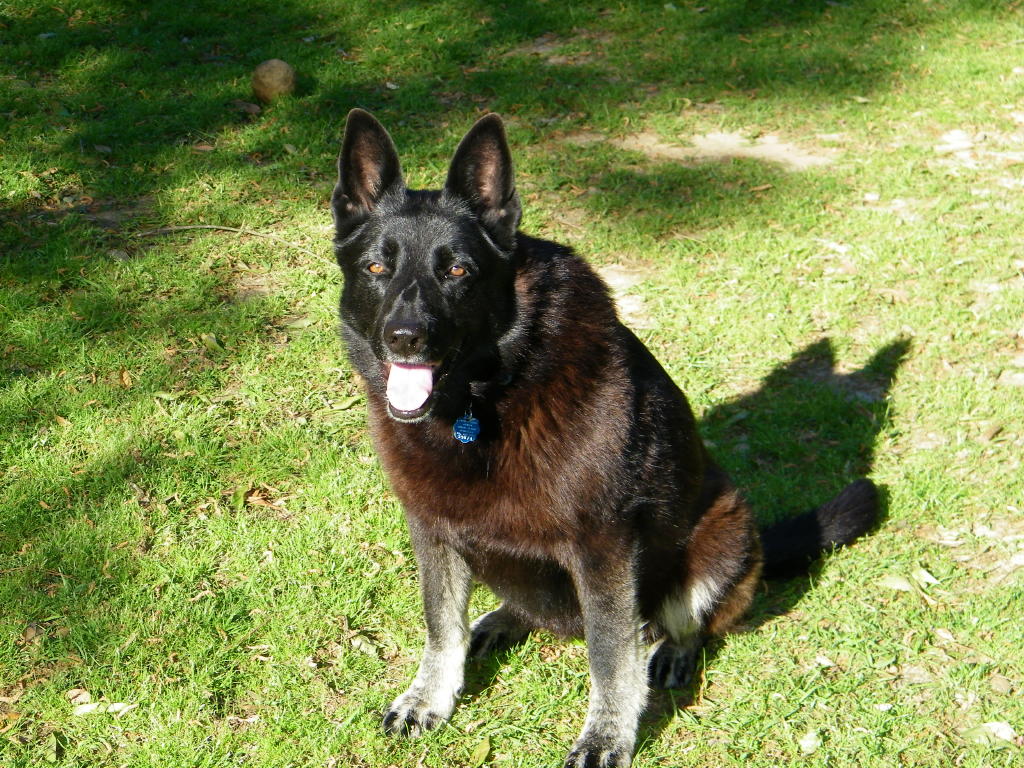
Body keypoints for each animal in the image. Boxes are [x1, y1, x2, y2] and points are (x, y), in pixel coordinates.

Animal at [330, 109, 878, 767]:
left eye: (458, 270)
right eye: (376, 269)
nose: (405, 336)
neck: (485, 400)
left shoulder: (603, 548)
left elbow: (611, 653)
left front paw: (606, 736)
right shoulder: (435, 530)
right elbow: (442, 626)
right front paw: (430, 698)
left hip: (719, 535)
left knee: (680, 623)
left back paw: (671, 652)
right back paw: (503, 620)